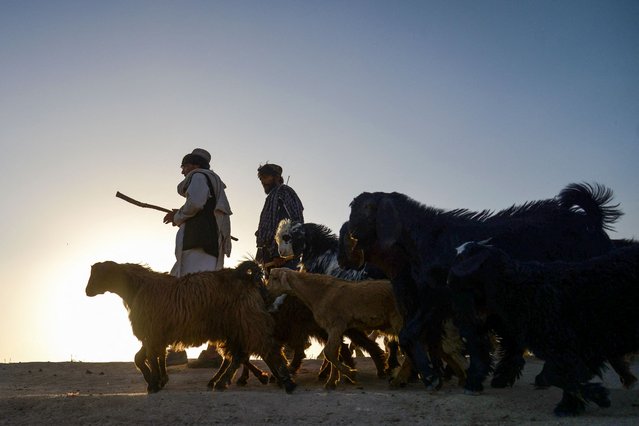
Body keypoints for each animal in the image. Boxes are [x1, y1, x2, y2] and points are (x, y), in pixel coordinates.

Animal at [85, 258, 298, 394]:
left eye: (98, 274)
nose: (87, 291)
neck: (138, 287)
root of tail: (245, 275)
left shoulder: (153, 332)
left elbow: (149, 357)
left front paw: (154, 383)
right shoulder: (157, 335)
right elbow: (145, 357)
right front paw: (158, 380)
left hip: (248, 321)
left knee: (267, 348)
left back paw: (286, 381)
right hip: (235, 327)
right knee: (239, 356)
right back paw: (223, 381)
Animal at [264, 268, 464, 392]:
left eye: (274, 278)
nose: (265, 293)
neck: (318, 293)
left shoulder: (337, 324)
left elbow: (330, 353)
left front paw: (350, 374)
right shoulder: (334, 328)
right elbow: (334, 352)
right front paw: (332, 382)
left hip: (399, 320)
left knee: (413, 348)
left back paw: (399, 379)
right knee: (434, 345)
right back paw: (458, 375)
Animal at [348, 181, 628, 392]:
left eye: (363, 208)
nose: (349, 230)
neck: (426, 238)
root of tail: (592, 220)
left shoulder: (445, 296)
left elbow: (454, 335)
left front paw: (457, 377)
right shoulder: (441, 301)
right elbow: (427, 336)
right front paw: (436, 376)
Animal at [448, 241, 639, 418]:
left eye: (460, 259)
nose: (447, 281)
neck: (518, 289)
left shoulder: (567, 344)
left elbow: (555, 375)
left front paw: (591, 399)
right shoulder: (584, 347)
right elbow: (560, 375)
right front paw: (579, 402)